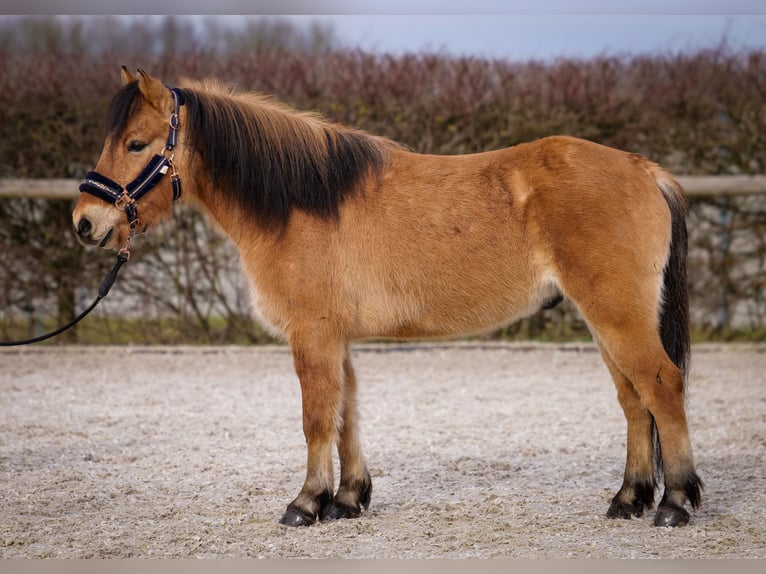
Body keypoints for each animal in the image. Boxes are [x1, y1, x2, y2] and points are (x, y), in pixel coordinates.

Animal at [72, 68, 704, 532]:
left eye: (135, 143)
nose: (84, 222)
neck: (300, 201)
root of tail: (644, 170)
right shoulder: (337, 339)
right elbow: (347, 413)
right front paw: (348, 499)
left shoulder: (313, 334)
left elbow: (316, 418)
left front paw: (306, 503)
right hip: (606, 323)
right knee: (634, 402)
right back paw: (629, 499)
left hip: (617, 318)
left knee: (663, 387)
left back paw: (674, 503)